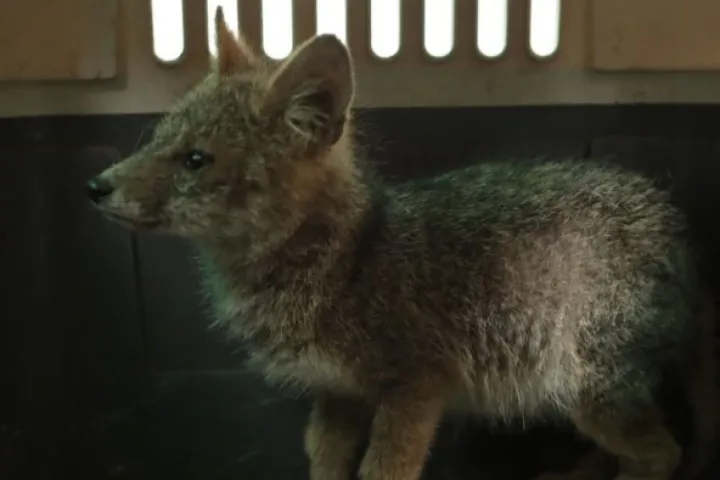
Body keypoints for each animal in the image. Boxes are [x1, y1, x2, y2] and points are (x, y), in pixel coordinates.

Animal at [86, 7, 717, 480]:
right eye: (156, 138)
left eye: (195, 160)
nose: (95, 186)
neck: (336, 263)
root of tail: (678, 227)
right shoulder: (337, 397)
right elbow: (323, 464)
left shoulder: (413, 391)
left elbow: (384, 471)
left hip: (591, 397)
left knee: (663, 455)